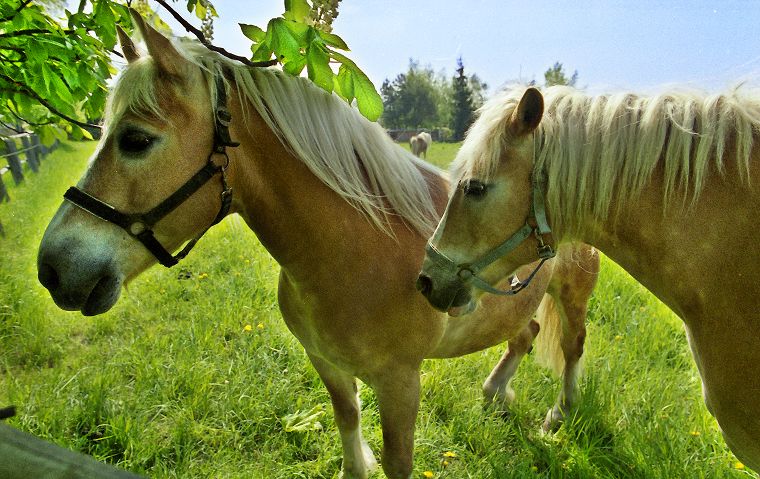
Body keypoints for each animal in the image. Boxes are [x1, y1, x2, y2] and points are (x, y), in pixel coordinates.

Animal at [34, 13, 600, 478]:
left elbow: (398, 461)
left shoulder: (400, 383)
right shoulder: (325, 362)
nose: (53, 268)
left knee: (572, 345)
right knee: (524, 333)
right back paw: (495, 393)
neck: (355, 254)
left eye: (135, 140)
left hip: (573, 294)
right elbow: (347, 418)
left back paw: (560, 415)